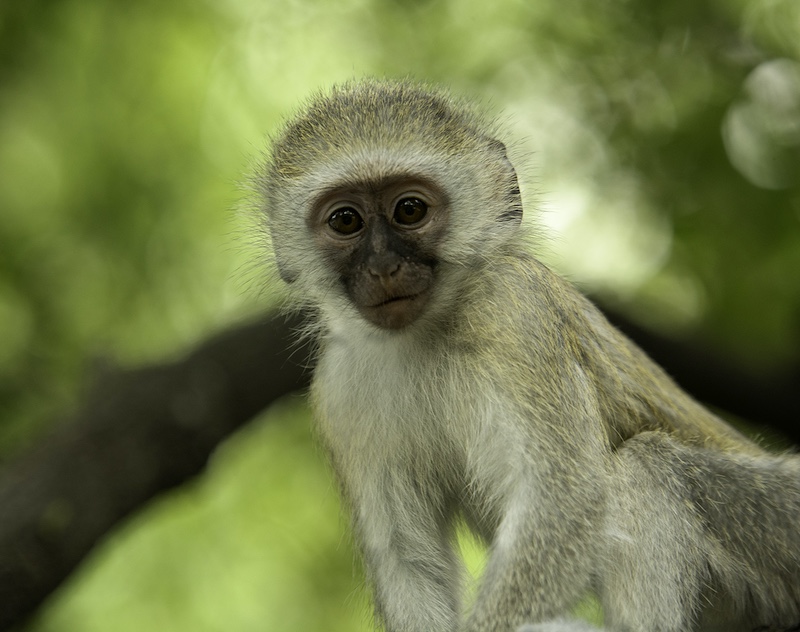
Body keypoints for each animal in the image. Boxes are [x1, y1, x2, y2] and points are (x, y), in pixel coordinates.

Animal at [258, 79, 800, 632]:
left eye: (409, 210)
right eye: (346, 220)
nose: (384, 267)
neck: (424, 337)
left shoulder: (515, 308)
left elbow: (563, 502)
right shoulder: (339, 388)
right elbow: (407, 559)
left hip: (778, 517)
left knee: (650, 466)